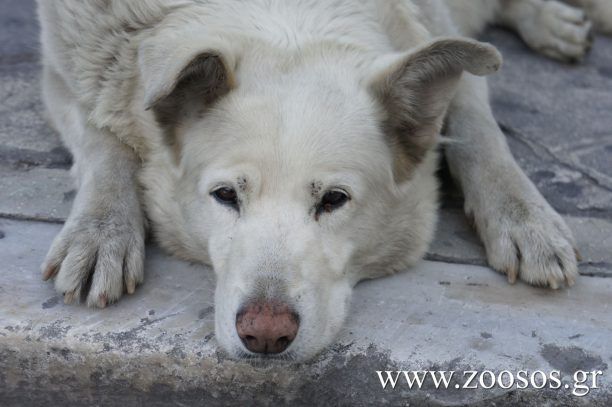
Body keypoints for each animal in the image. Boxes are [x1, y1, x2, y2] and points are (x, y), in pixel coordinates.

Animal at [37, 0, 611, 360]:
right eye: (225, 196)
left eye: (334, 200)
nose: (265, 335)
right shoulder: (65, 74)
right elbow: (102, 140)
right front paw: (101, 233)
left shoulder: (439, 36)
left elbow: (475, 127)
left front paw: (524, 219)